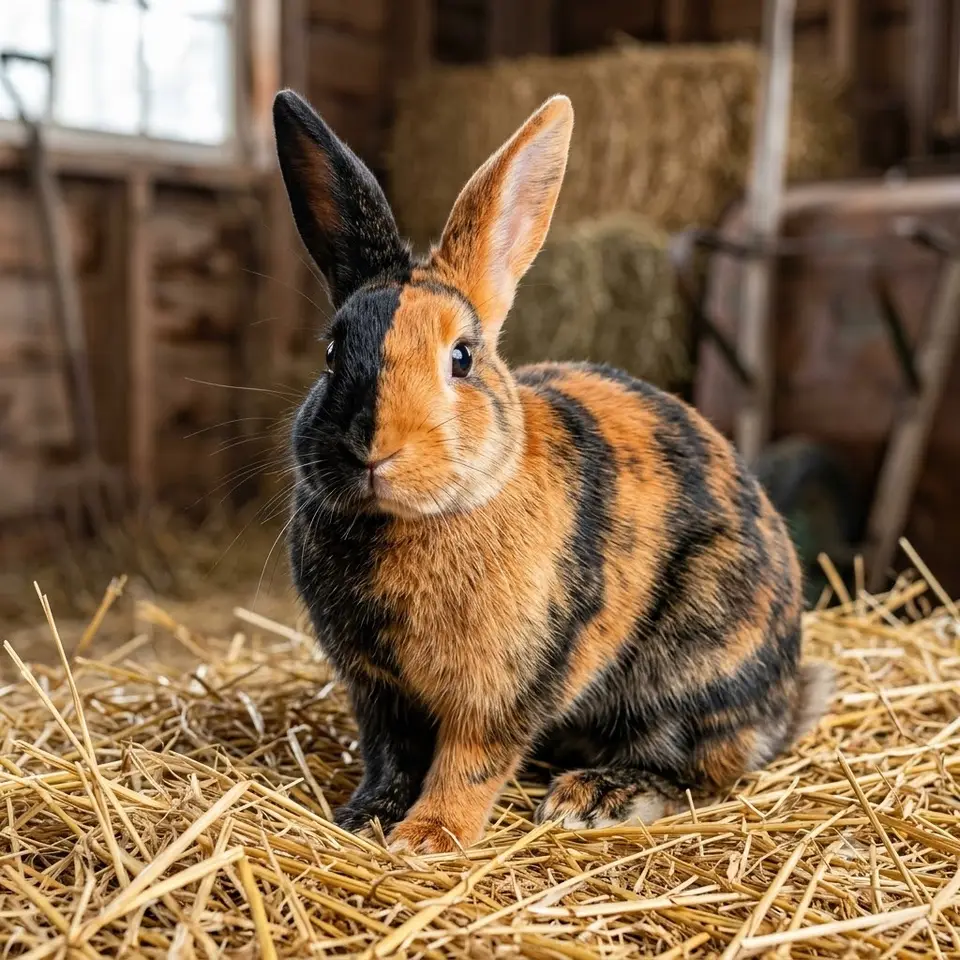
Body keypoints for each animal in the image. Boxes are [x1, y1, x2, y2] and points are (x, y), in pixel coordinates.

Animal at [273, 89, 834, 855]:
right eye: (332, 354)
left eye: (462, 358)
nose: (372, 449)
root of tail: (786, 700)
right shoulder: (378, 693)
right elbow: (392, 758)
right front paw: (366, 819)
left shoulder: (506, 687)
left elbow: (469, 765)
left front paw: (429, 838)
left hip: (692, 665)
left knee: (695, 768)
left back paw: (592, 797)